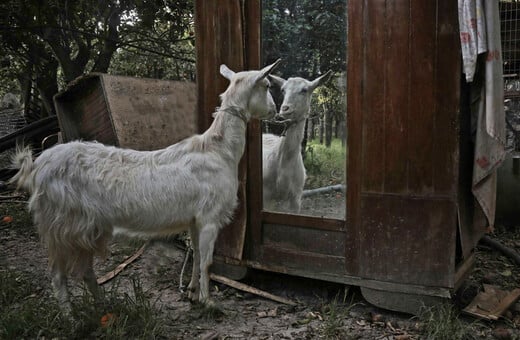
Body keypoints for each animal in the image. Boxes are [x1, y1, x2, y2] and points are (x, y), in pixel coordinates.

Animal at [9, 59, 280, 312]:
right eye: (267, 85)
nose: (275, 110)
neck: (219, 150)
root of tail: (36, 166)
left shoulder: (195, 219)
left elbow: (196, 257)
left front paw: (192, 293)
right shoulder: (209, 217)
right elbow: (207, 262)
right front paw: (209, 302)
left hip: (83, 227)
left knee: (84, 270)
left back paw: (104, 305)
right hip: (60, 224)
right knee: (57, 275)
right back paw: (70, 317)